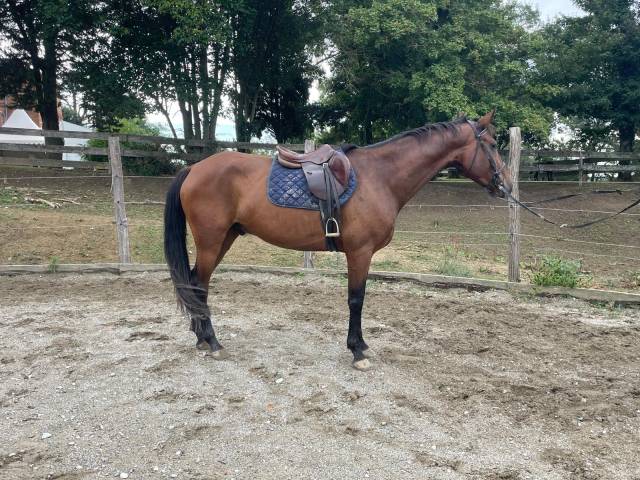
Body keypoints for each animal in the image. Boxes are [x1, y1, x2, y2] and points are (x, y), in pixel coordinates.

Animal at [163, 110, 513, 370]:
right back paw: (212, 342)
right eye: (492, 144)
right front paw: (357, 351)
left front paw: (360, 346)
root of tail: (194, 168)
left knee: (196, 283)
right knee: (198, 284)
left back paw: (201, 337)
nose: (507, 185)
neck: (380, 177)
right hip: (211, 241)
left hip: (225, 238)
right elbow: (356, 299)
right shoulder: (360, 252)